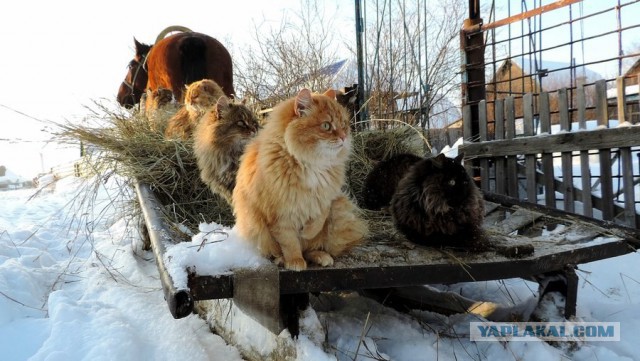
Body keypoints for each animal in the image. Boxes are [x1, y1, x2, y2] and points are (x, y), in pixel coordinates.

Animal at [232, 88, 368, 270]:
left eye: (344, 125)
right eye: (326, 126)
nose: (343, 137)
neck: (311, 163)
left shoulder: (326, 198)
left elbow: (318, 220)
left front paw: (307, 232)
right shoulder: (280, 214)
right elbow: (290, 243)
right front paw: (295, 261)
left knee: (312, 248)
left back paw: (321, 256)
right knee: (280, 251)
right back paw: (283, 259)